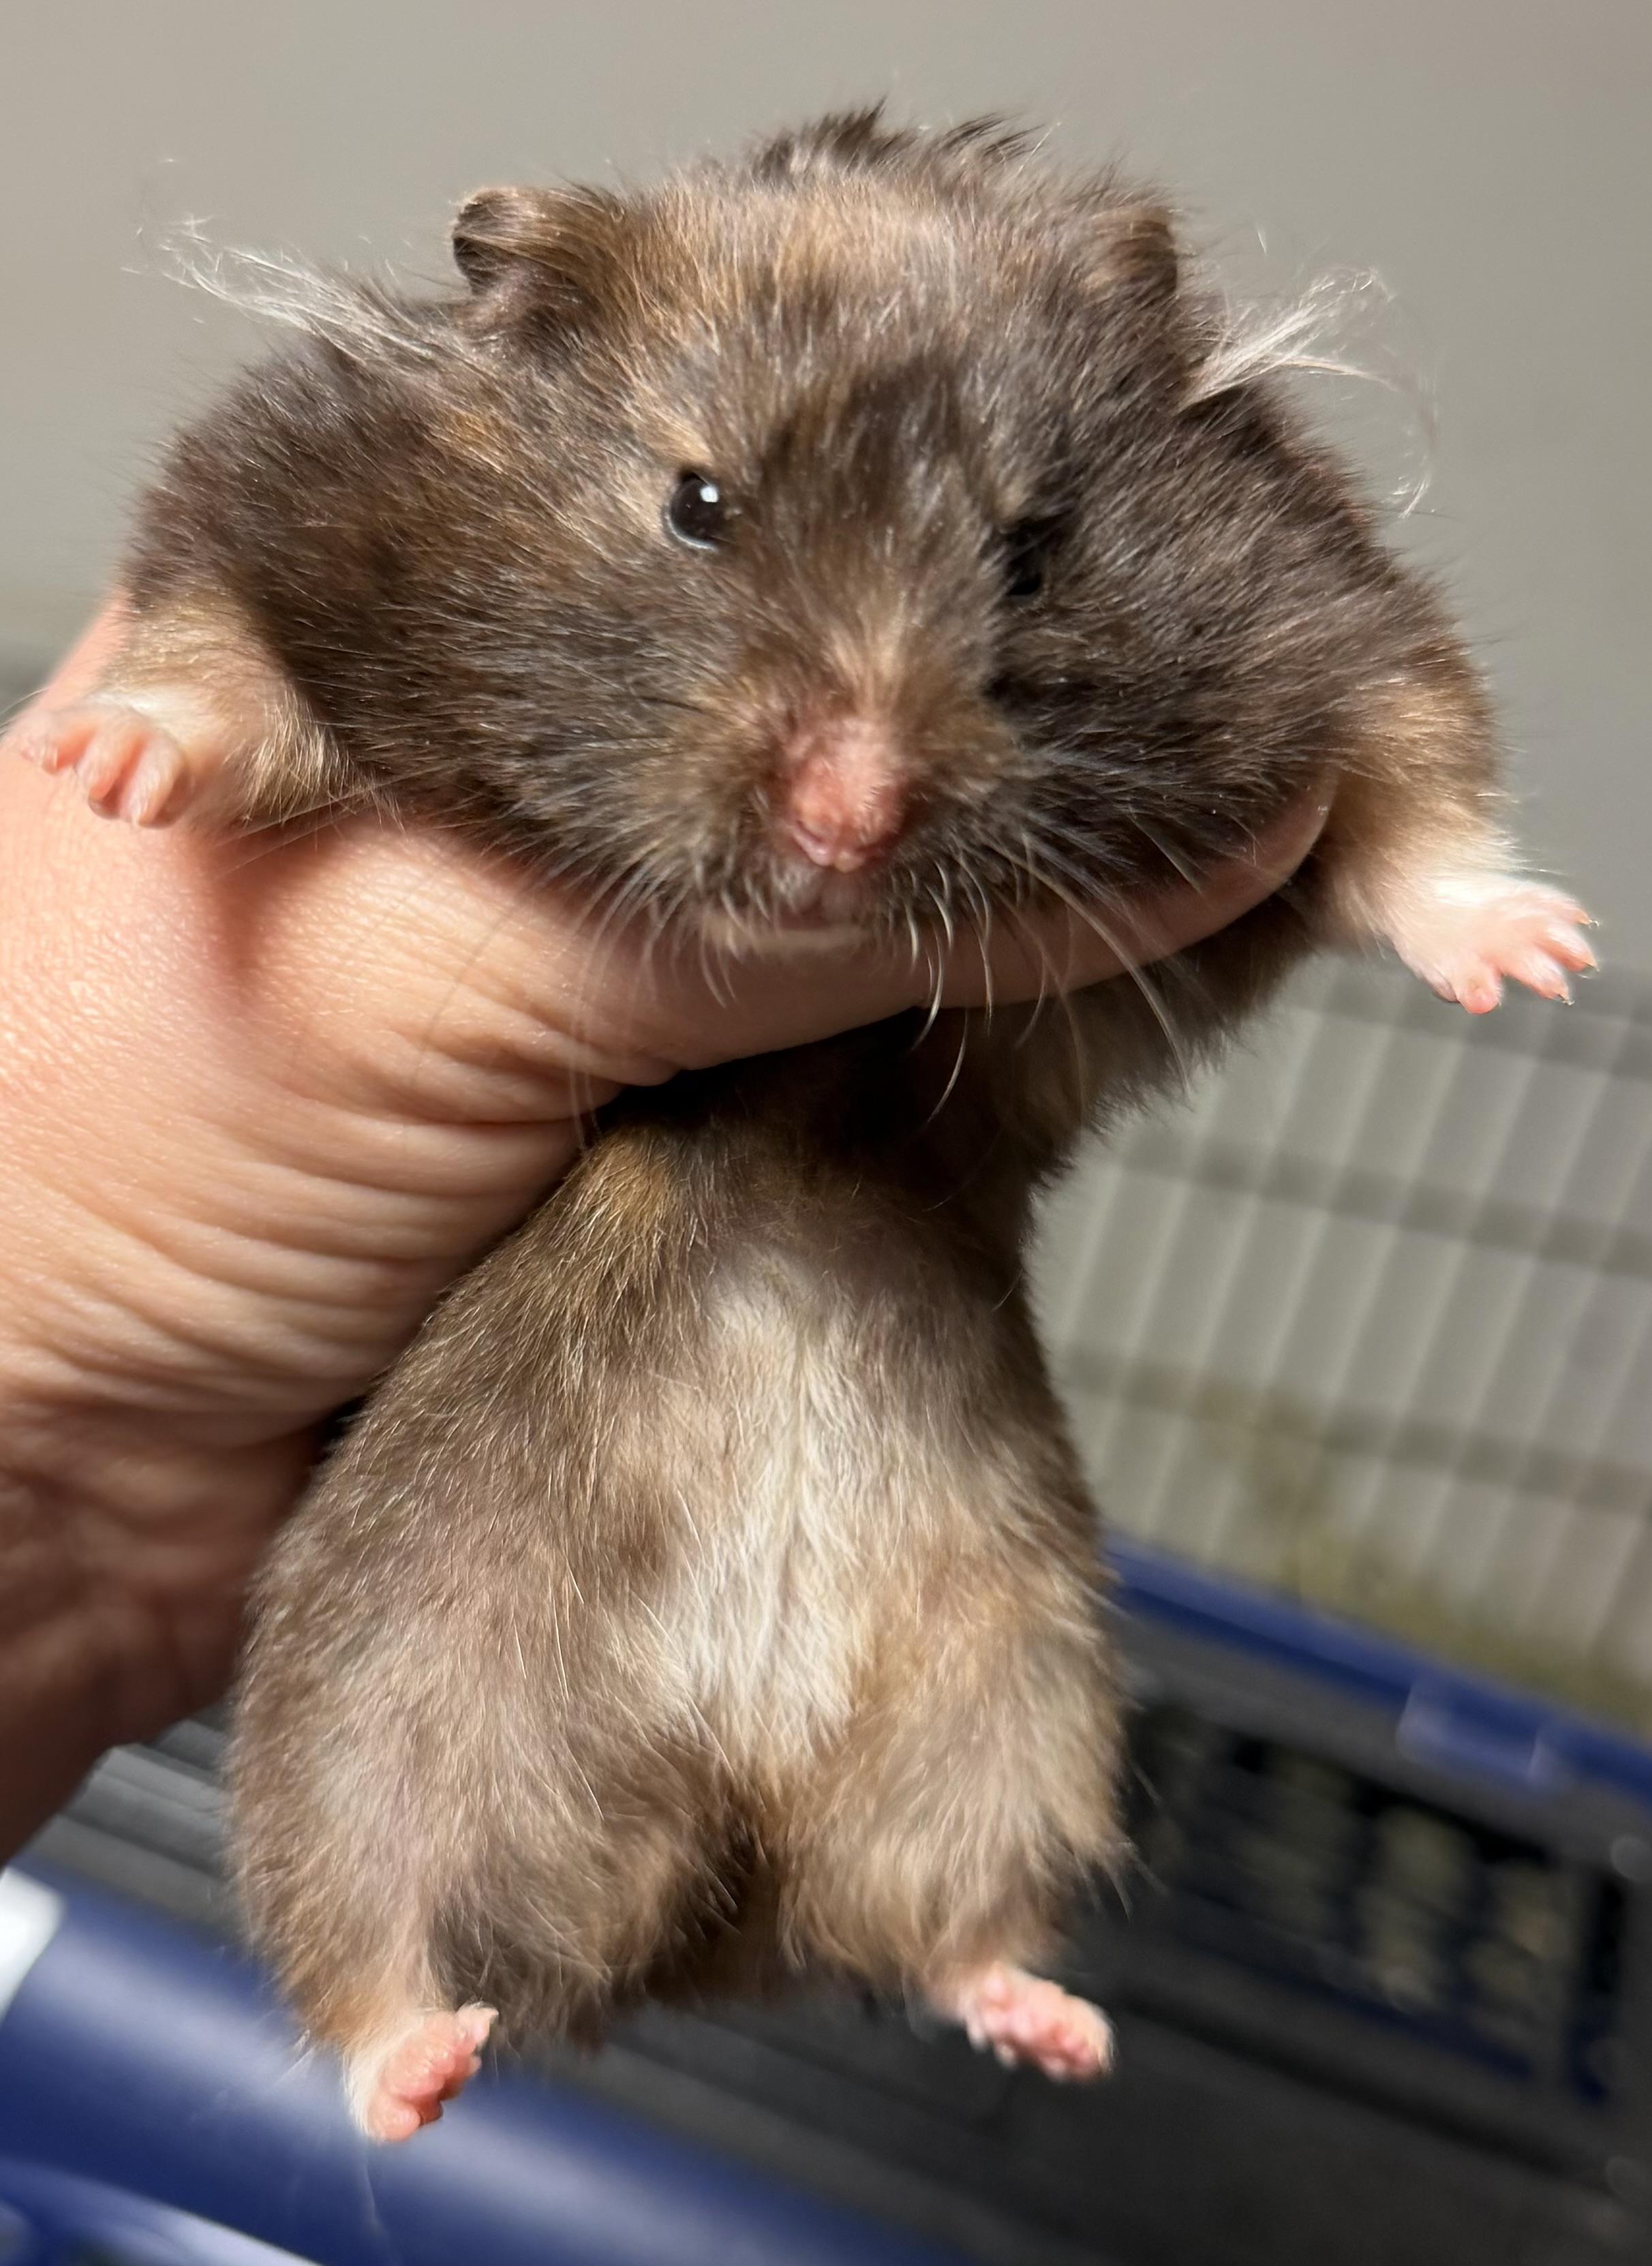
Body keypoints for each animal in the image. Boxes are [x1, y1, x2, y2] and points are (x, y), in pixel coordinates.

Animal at [20, 110, 1592, 2140]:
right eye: (698, 503)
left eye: (1034, 544)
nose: (849, 819)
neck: (791, 1099)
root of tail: (721, 1859)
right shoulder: (286, 491)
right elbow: (210, 653)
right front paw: (103, 771)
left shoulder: (1325, 622)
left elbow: (1416, 795)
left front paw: (1543, 961)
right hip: (363, 1706)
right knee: (369, 1935)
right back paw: (414, 2071)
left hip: (1012, 1704)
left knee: (932, 1922)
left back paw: (1049, 2025)